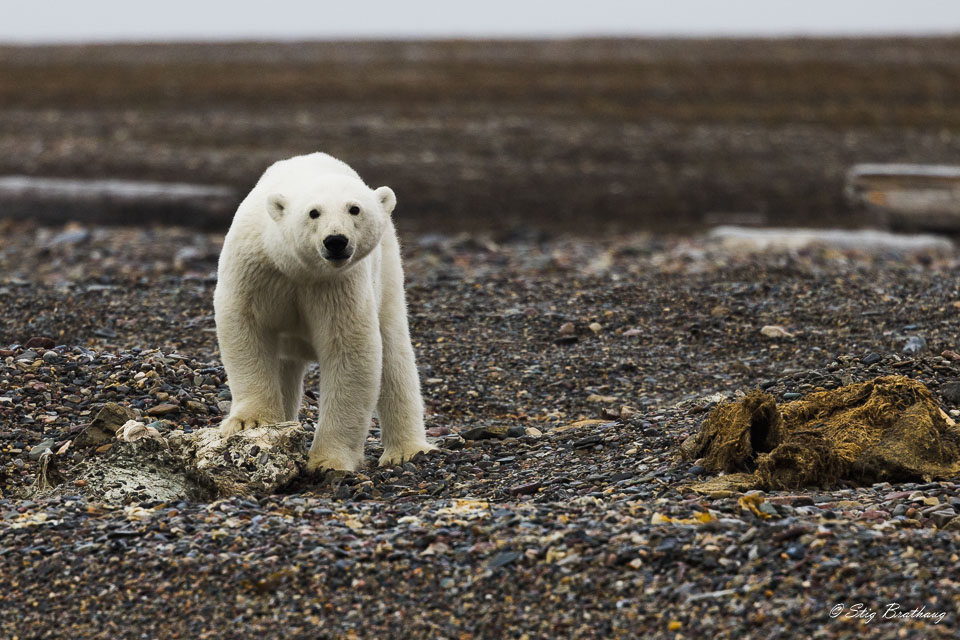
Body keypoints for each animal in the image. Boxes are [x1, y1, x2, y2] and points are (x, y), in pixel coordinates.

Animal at [216, 150, 436, 470]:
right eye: (313, 212)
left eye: (354, 209)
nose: (335, 241)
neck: (298, 269)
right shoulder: (255, 269)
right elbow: (246, 328)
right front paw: (250, 422)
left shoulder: (339, 285)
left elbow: (350, 350)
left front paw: (327, 460)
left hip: (388, 272)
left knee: (395, 356)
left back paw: (407, 450)